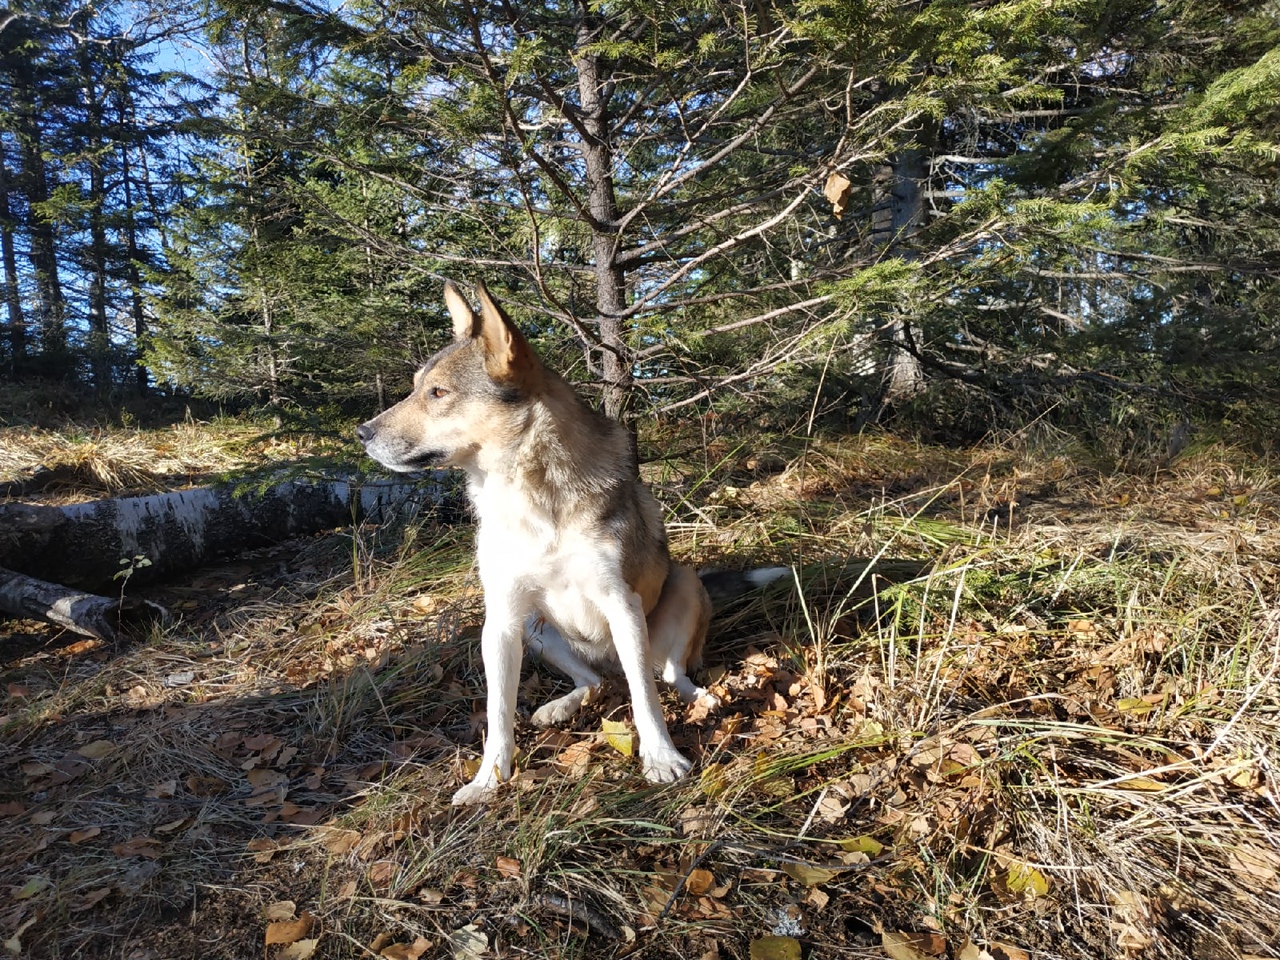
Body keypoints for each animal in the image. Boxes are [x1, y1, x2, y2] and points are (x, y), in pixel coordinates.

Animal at [355, 281, 783, 808]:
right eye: (418, 386)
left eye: (438, 393)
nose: (361, 433)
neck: (531, 496)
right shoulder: (501, 620)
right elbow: (498, 713)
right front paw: (489, 779)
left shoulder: (621, 604)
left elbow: (645, 698)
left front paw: (661, 758)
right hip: (536, 628)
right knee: (593, 680)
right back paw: (560, 706)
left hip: (681, 586)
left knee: (662, 675)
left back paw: (698, 696)